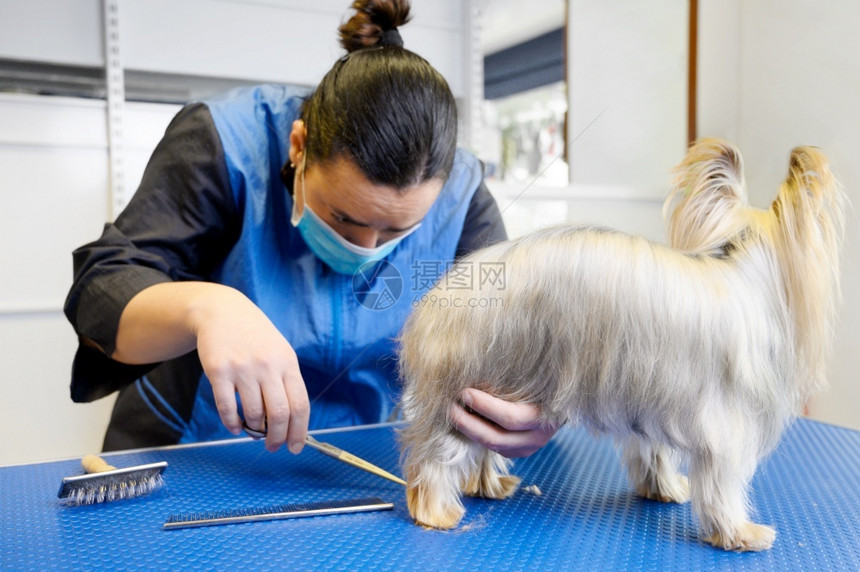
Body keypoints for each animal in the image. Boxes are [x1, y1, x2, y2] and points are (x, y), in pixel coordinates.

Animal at [400, 137, 844, 548]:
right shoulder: (725, 421)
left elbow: (651, 450)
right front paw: (740, 532)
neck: (741, 262)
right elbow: (722, 483)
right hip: (468, 385)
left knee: (481, 445)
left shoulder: (647, 395)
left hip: (495, 386)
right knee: (437, 457)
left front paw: (664, 488)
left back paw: (489, 486)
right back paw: (436, 512)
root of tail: (438, 300)